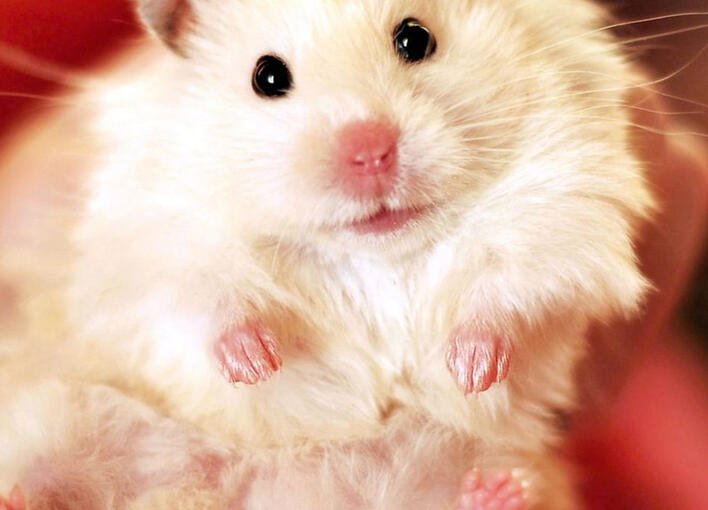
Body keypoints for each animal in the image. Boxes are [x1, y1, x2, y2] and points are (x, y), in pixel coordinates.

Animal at [0, 0, 654, 509]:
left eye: (415, 38)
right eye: (267, 76)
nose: (370, 151)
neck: (374, 251)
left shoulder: (563, 201)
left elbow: (507, 289)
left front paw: (469, 372)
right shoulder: (157, 230)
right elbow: (210, 299)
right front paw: (258, 363)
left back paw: (499, 492)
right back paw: (24, 495)